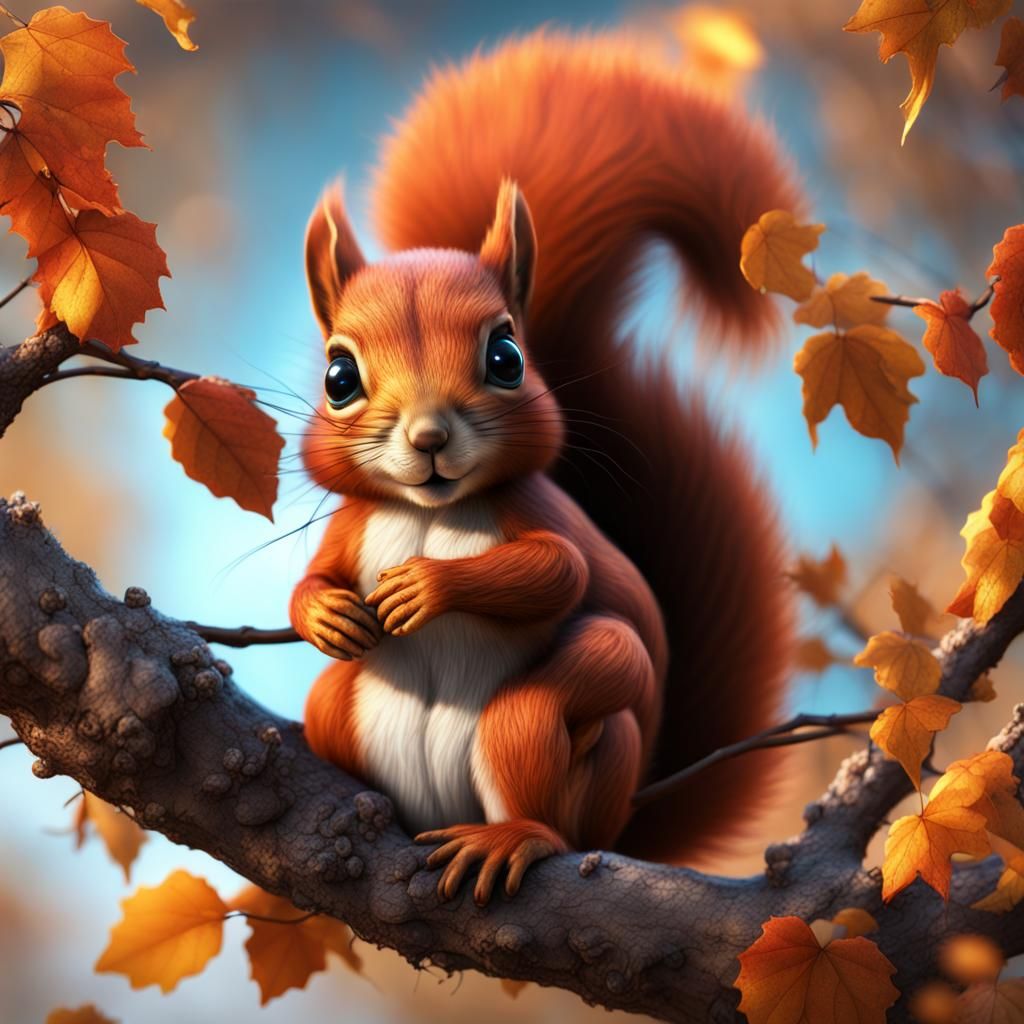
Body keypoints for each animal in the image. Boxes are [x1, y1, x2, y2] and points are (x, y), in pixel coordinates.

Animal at [291, 31, 802, 905]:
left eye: (506, 357)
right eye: (338, 377)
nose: (429, 437)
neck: (430, 514)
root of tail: (620, 826)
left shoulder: (540, 516)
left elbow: (555, 570)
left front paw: (427, 586)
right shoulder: (352, 530)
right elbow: (309, 583)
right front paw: (328, 614)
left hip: (544, 728)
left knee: (545, 746)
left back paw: (513, 837)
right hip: (340, 707)